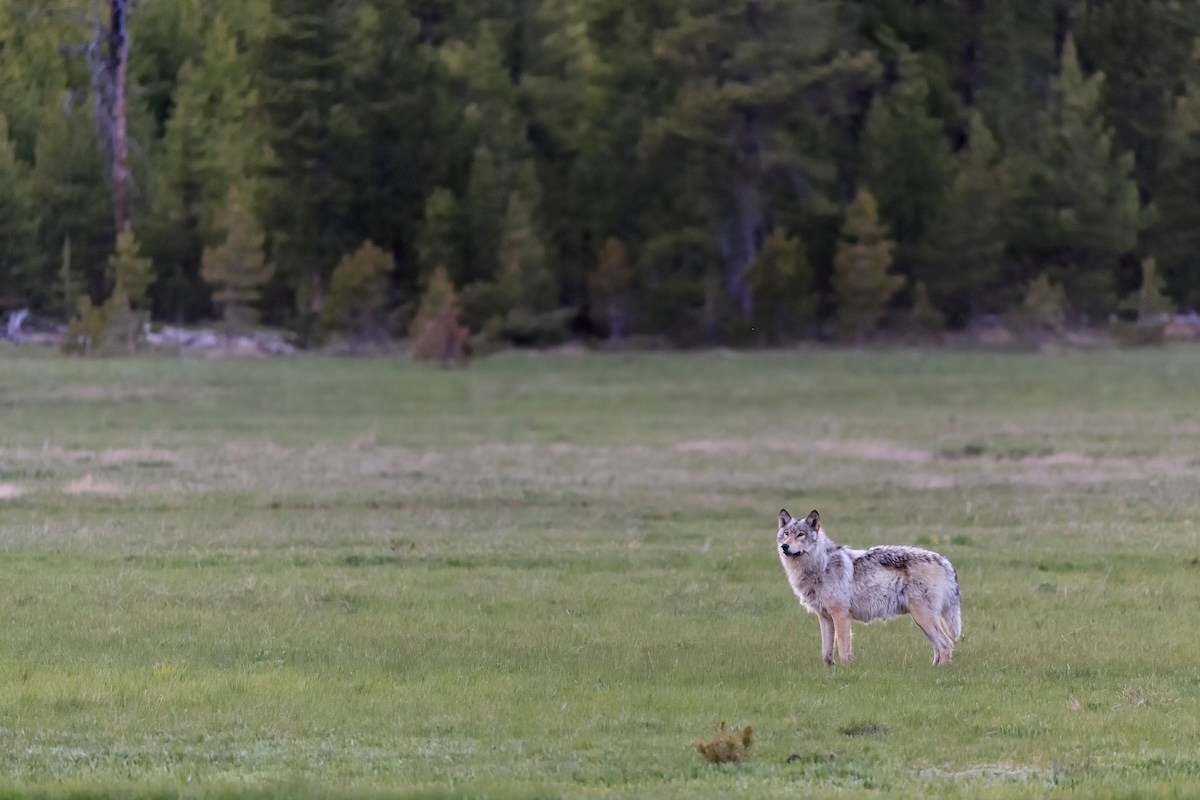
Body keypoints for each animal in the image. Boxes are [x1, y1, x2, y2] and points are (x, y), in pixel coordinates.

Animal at [776, 509, 962, 666]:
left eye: (801, 535)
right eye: (786, 534)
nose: (784, 546)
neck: (820, 565)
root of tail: (945, 561)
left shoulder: (841, 615)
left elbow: (843, 649)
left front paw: (844, 671)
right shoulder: (824, 617)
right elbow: (826, 654)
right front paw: (829, 673)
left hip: (923, 618)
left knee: (945, 644)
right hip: (922, 621)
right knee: (939, 647)